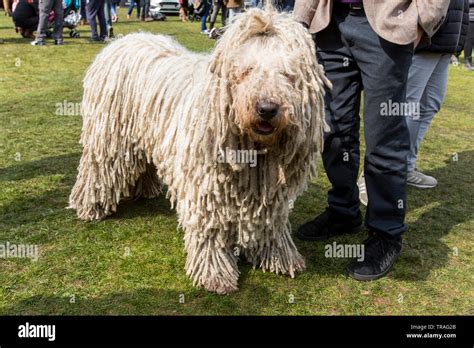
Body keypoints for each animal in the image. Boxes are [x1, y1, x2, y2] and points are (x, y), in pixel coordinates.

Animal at [69, 5, 330, 294]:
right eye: (247, 70)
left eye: (287, 74)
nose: (267, 108)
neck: (252, 148)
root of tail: (123, 41)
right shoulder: (207, 188)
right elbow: (211, 230)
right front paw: (215, 275)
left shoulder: (269, 192)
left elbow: (270, 223)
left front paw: (279, 257)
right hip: (108, 137)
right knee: (97, 170)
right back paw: (90, 207)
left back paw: (146, 189)